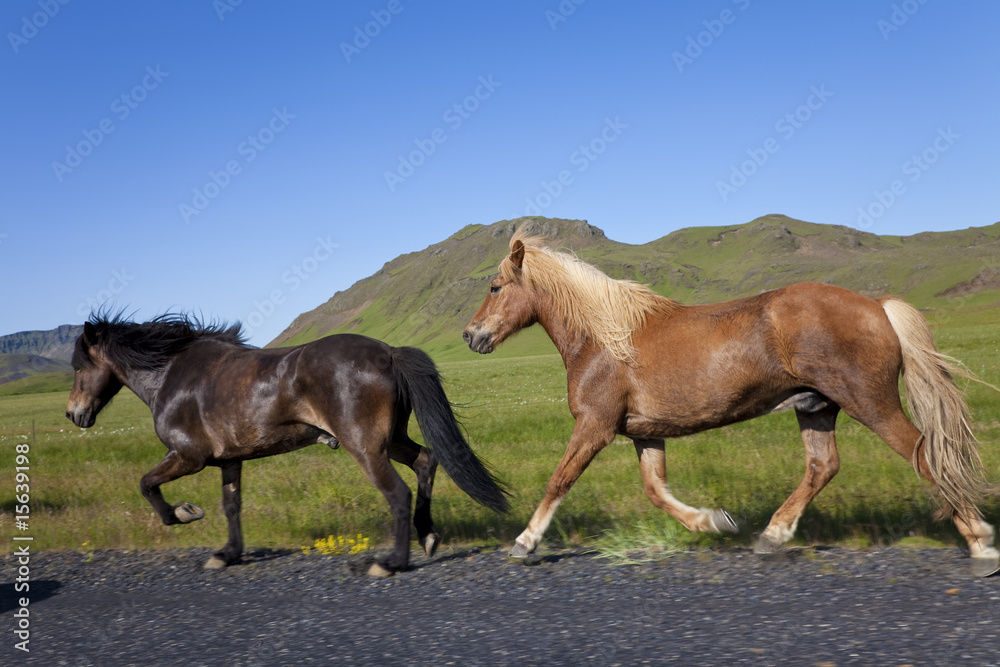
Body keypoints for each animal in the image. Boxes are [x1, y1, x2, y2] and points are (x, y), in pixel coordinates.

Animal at [66, 313, 509, 576]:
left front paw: (184, 513)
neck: (171, 374)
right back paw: (428, 535)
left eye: (78, 367)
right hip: (393, 440)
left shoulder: (189, 457)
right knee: (426, 462)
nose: (74, 414)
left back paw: (391, 563)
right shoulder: (229, 460)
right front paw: (227, 553)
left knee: (398, 493)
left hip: (366, 447)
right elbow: (231, 506)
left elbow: (147, 485)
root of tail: (388, 352)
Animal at [463, 230, 1000, 576]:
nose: (471, 336)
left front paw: (525, 542)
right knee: (822, 466)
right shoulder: (644, 433)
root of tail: (877, 306)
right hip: (816, 407)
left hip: (870, 402)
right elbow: (655, 490)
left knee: (925, 456)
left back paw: (979, 540)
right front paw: (713, 521)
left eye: (494, 286)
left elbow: (560, 480)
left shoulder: (595, 426)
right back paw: (772, 535)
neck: (603, 340)